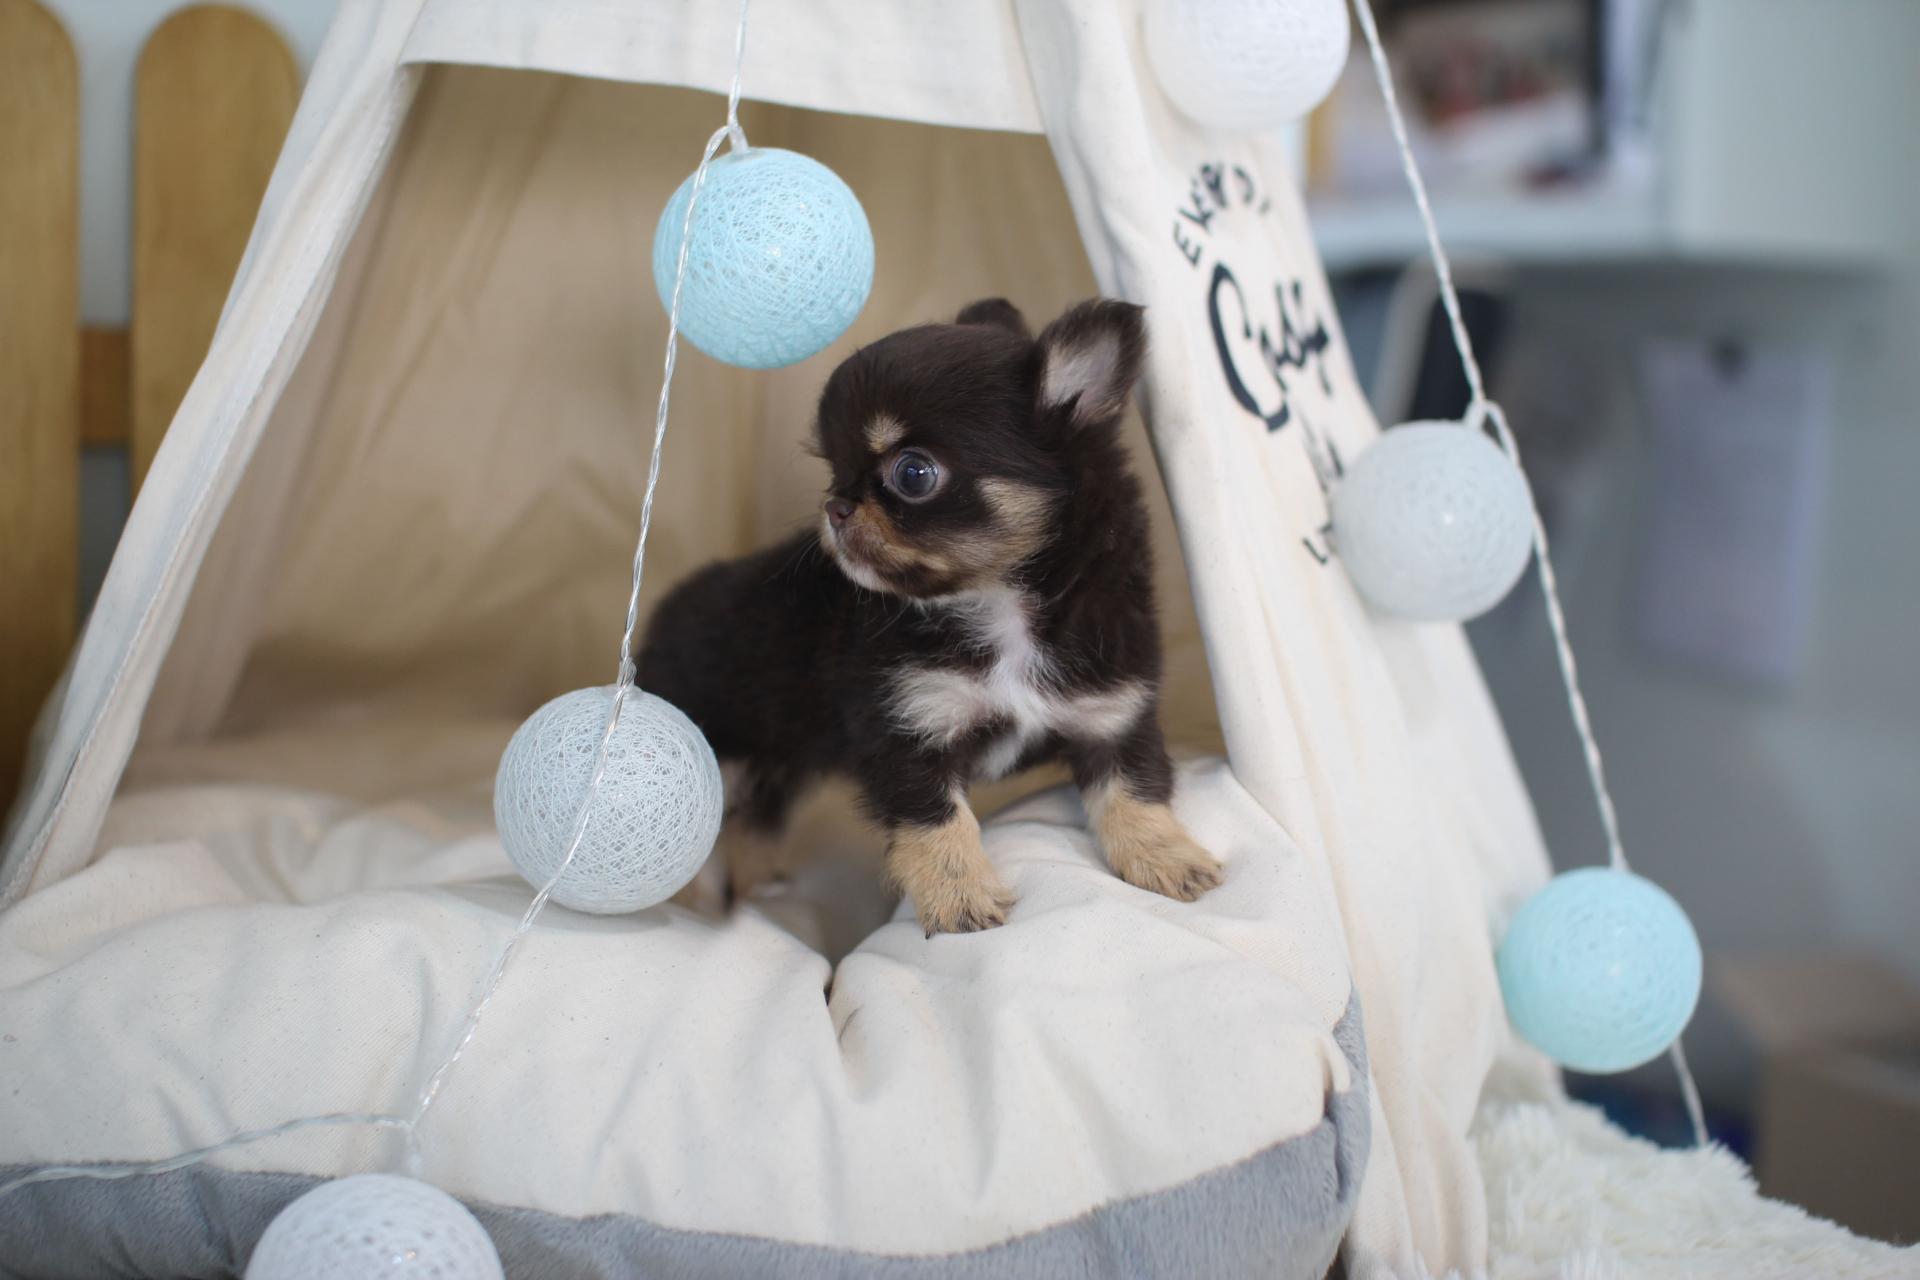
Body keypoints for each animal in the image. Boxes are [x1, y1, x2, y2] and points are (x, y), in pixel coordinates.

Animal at [638, 297, 1222, 934]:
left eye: (913, 473)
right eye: (833, 468)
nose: (835, 505)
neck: (996, 604)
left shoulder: (1111, 718)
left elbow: (1134, 792)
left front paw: (1166, 856)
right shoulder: (906, 734)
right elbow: (939, 824)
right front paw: (959, 898)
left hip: (775, 775)